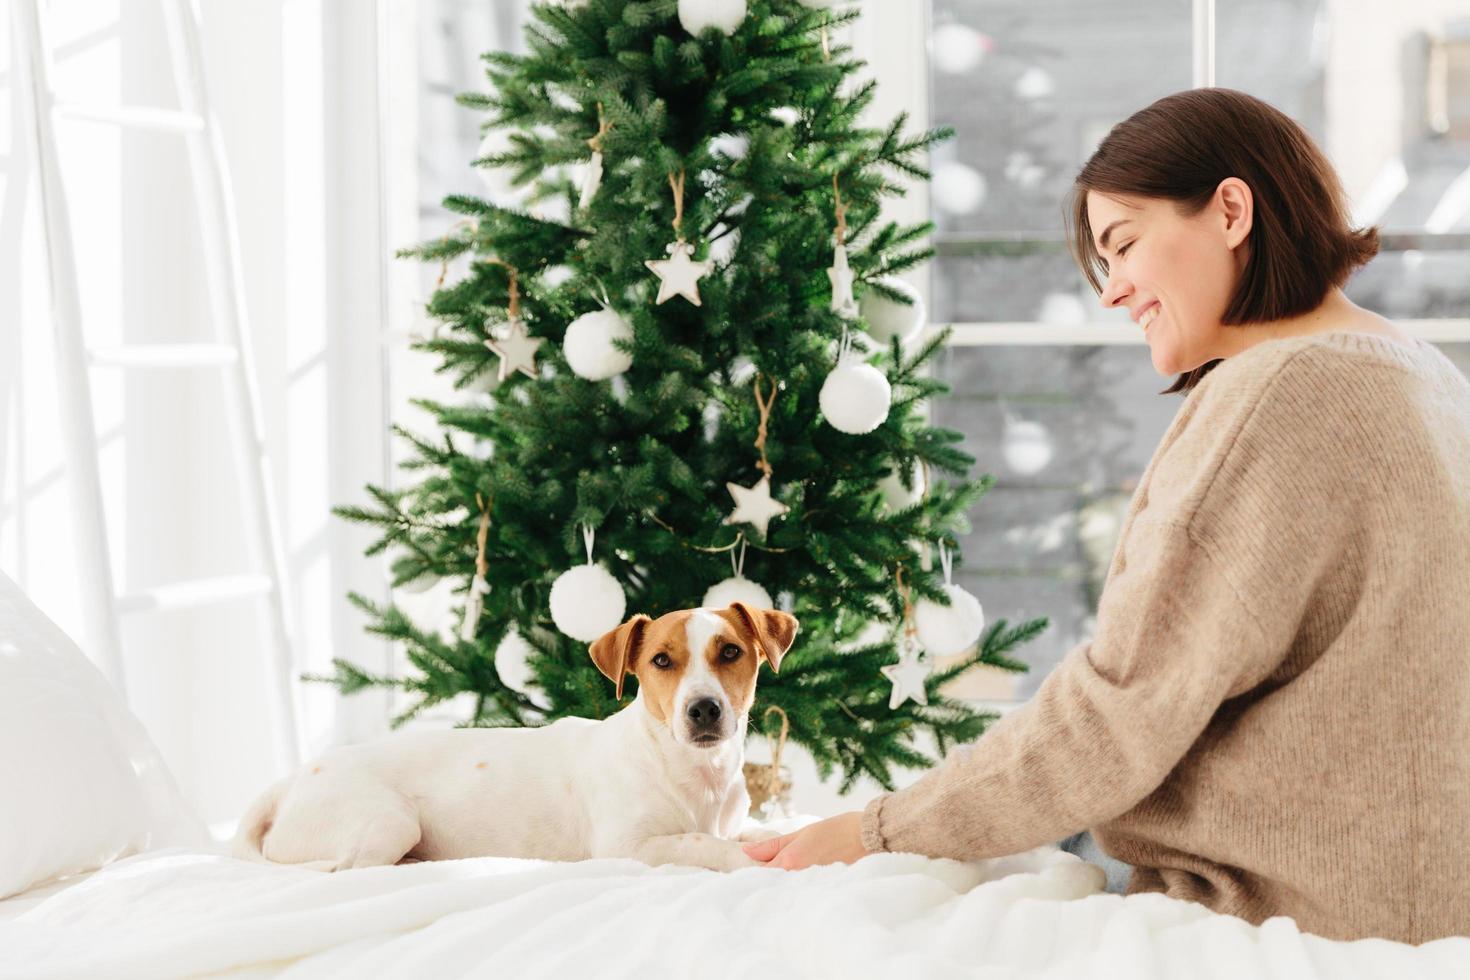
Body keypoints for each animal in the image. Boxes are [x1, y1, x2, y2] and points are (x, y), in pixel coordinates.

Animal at [230, 602, 799, 875]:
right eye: (661, 660)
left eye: (730, 652)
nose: (703, 709)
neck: (692, 772)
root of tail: (289, 783)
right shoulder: (626, 847)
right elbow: (706, 844)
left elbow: (753, 833)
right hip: (389, 821)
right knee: (347, 870)